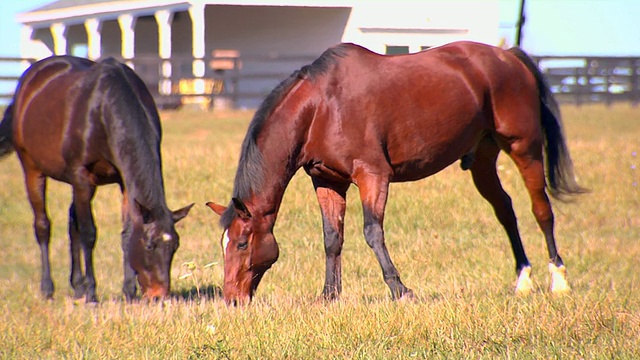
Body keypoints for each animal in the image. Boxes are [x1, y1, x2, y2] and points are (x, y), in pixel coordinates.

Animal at [0, 55, 195, 300]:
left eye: (175, 246)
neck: (102, 111)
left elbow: (126, 232)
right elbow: (89, 233)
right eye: (150, 245)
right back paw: (48, 289)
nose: (159, 295)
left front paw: (128, 291)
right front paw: (92, 292)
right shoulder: (82, 179)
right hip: (33, 170)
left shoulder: (123, 182)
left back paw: (77, 286)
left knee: (71, 223)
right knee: (43, 225)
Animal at [208, 40, 588, 306]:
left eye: (241, 243)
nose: (232, 300)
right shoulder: (328, 181)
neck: (321, 108)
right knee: (506, 211)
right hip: (483, 158)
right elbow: (332, 238)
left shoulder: (372, 176)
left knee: (542, 210)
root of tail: (508, 56)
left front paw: (399, 289)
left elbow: (372, 232)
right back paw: (523, 280)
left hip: (525, 148)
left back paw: (559, 280)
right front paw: (329, 295)